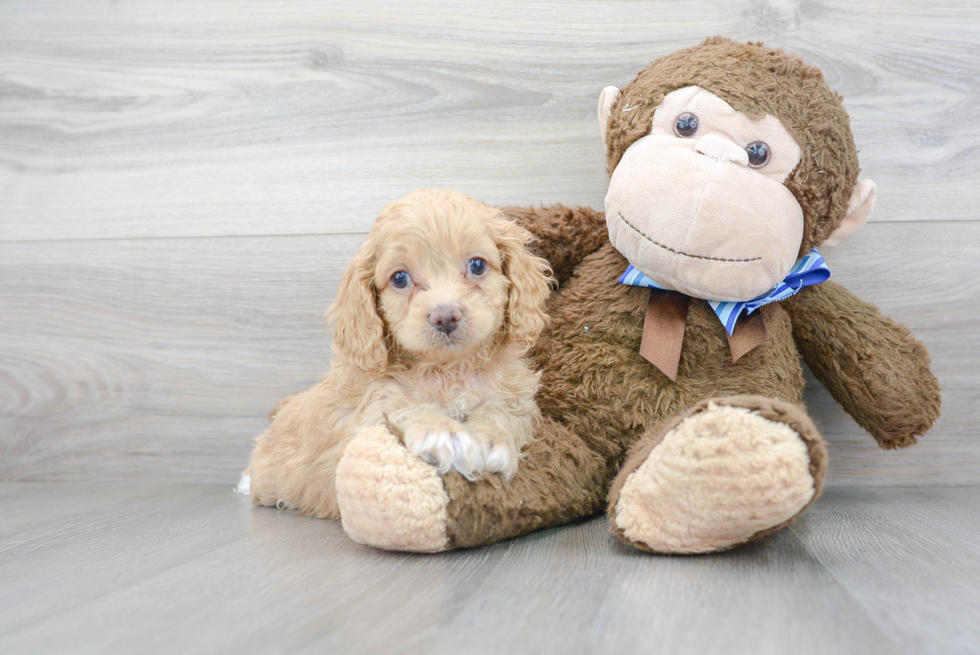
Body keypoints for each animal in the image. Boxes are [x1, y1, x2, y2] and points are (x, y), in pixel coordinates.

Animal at [239, 191, 552, 524]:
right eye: (399, 278)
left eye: (477, 265)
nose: (445, 316)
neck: (448, 370)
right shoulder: (365, 417)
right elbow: (405, 408)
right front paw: (443, 434)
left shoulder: (516, 402)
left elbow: (499, 411)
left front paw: (490, 440)